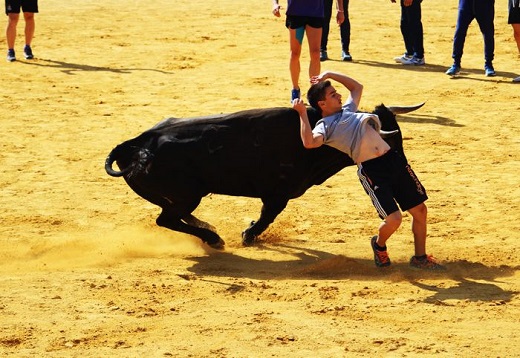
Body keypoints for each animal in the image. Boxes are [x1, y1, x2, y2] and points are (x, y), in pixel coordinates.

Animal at [104, 103, 422, 249]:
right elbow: (267, 217)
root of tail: (134, 143)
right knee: (166, 220)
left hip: (174, 197)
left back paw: (210, 231)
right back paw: (213, 238)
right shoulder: (278, 195)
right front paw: (248, 235)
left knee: (173, 217)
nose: (404, 172)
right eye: (393, 143)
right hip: (187, 196)